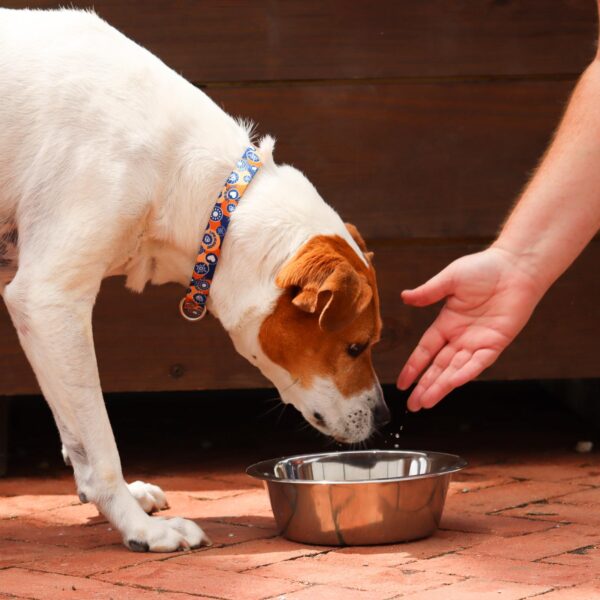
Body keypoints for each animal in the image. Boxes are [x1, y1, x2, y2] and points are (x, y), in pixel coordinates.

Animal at [0, 8, 390, 552]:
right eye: (356, 346)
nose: (386, 418)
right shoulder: (48, 297)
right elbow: (100, 441)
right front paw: (139, 529)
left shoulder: (44, 315)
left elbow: (77, 434)